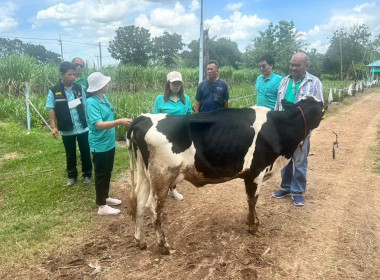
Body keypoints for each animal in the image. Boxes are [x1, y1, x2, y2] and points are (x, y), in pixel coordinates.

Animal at [126, 95, 326, 254]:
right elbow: (252, 199)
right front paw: (253, 226)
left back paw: (140, 241)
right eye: (321, 108)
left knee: (141, 203)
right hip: (162, 175)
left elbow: (251, 200)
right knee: (154, 209)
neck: (277, 129)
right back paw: (164, 246)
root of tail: (143, 118)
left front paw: (254, 221)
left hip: (145, 174)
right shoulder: (256, 171)